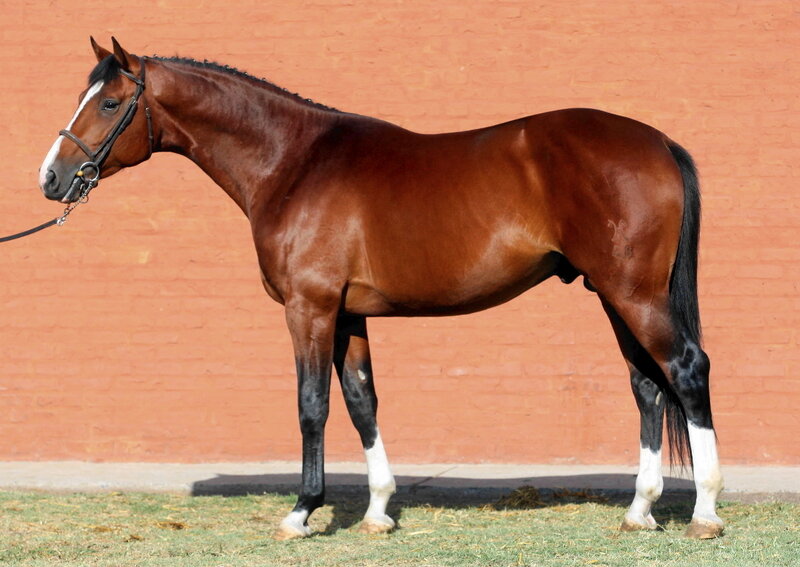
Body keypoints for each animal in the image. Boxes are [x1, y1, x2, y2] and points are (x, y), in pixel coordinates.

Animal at [38, 37, 723, 540]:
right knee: (646, 385)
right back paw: (639, 511)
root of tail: (657, 141)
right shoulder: (348, 314)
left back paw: (706, 513)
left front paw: (301, 512)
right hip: (613, 294)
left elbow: (312, 404)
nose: (51, 178)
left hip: (634, 293)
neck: (294, 162)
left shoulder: (309, 309)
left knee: (686, 370)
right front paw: (376, 512)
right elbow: (362, 401)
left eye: (108, 104)